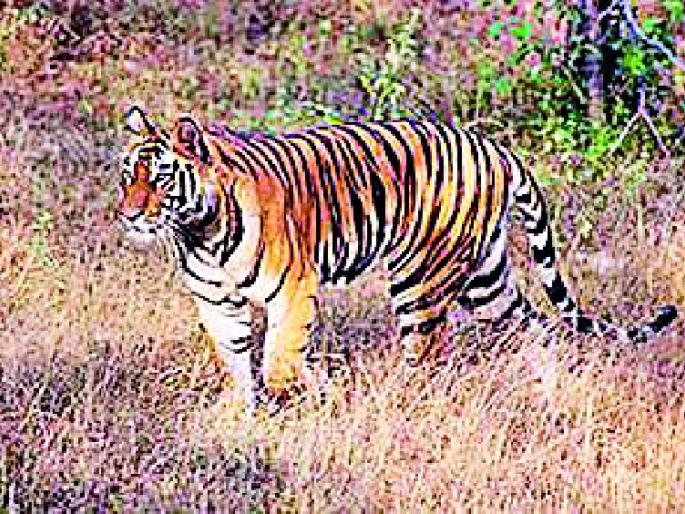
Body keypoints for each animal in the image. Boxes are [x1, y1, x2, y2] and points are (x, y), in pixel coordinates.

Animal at [117, 105, 677, 412]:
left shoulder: (294, 289)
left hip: (420, 278)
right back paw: (549, 391)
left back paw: (403, 404)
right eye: (128, 175)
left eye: (161, 178)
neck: (201, 233)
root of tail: (493, 146)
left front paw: (291, 393)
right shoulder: (217, 303)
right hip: (486, 280)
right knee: (535, 326)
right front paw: (245, 412)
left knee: (427, 355)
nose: (128, 214)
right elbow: (236, 358)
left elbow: (280, 355)